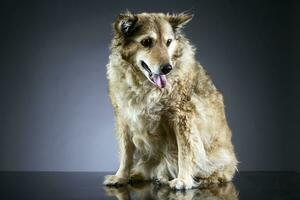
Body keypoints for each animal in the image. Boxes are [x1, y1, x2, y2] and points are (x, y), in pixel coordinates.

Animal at [104, 11, 238, 190]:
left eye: (168, 42)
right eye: (146, 42)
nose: (167, 68)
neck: (144, 84)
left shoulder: (182, 117)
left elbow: (185, 151)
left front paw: (183, 179)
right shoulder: (124, 117)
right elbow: (126, 152)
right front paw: (121, 176)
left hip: (220, 157)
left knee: (221, 174)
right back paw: (141, 175)